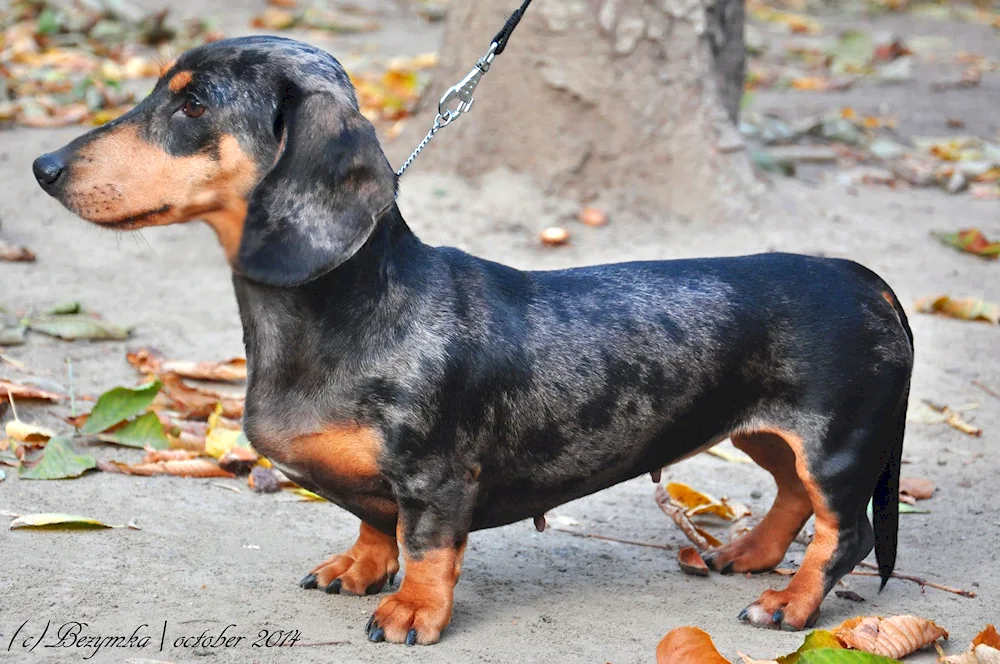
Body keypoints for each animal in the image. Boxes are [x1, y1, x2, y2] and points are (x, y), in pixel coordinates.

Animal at [35, 35, 916, 644]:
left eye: (192, 108)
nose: (43, 166)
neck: (350, 307)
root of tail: (865, 277)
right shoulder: (382, 481)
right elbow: (373, 520)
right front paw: (359, 568)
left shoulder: (437, 476)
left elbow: (425, 544)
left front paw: (411, 611)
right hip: (768, 433)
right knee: (794, 496)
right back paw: (749, 554)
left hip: (837, 445)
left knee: (843, 531)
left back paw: (788, 602)